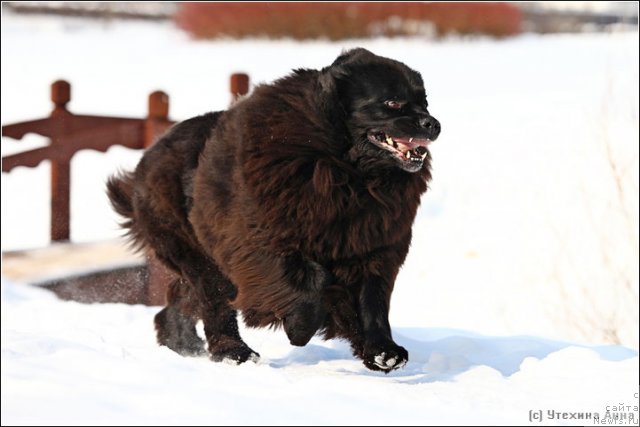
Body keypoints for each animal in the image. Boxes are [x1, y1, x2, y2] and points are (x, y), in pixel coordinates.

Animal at [109, 48, 440, 372]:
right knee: (214, 299)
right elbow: (312, 278)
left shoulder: (372, 244)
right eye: (392, 102)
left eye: (424, 103)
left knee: (188, 296)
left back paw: (181, 341)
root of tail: (150, 153)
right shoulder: (260, 239)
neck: (347, 170)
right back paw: (234, 353)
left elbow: (372, 297)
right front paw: (300, 328)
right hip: (194, 249)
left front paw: (383, 352)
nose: (433, 123)